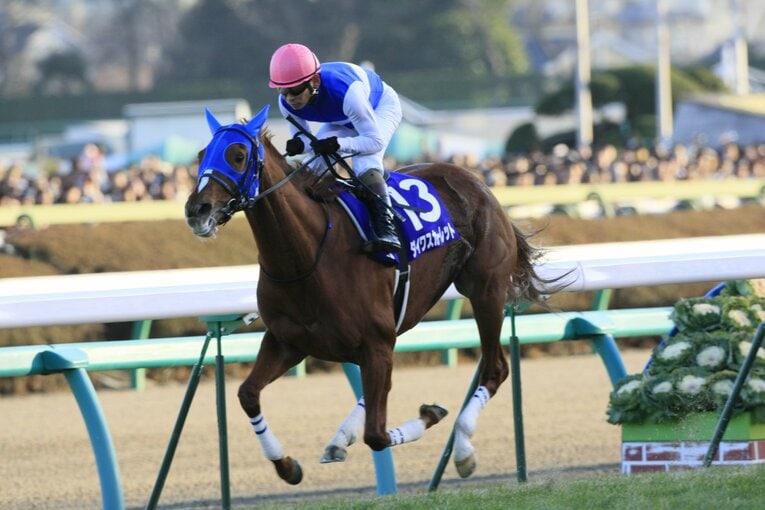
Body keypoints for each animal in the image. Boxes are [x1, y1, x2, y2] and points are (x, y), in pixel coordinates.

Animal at [184, 105, 556, 485]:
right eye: (201, 155)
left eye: (238, 156)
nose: (197, 210)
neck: (308, 255)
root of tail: (477, 182)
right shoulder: (288, 342)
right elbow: (248, 394)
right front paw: (287, 465)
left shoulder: (375, 342)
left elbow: (377, 435)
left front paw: (431, 416)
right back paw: (340, 438)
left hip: (485, 290)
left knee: (495, 368)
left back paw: (464, 450)